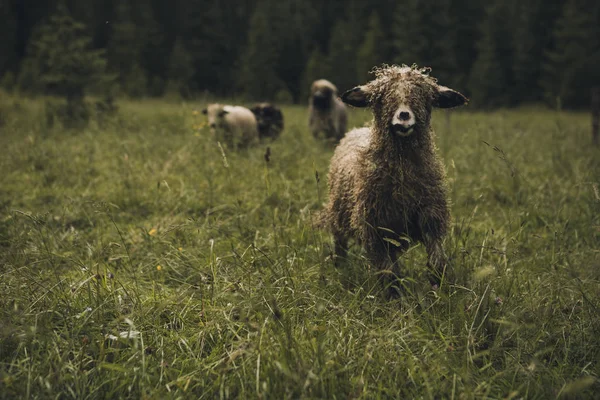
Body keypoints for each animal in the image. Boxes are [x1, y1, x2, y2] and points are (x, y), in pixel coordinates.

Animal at [324, 64, 468, 290]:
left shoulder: (430, 213)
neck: (402, 175)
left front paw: (438, 285)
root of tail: (357, 129)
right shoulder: (375, 226)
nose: (404, 116)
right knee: (340, 243)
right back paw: (341, 266)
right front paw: (393, 295)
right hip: (339, 212)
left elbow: (436, 257)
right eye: (381, 97)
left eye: (425, 96)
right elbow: (388, 271)